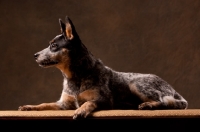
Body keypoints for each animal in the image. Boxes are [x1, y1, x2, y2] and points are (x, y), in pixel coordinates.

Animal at [18, 16, 188, 119]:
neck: (75, 77)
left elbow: (88, 103)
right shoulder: (64, 104)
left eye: (53, 46)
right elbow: (44, 104)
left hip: (137, 84)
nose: (34, 55)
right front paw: (29, 107)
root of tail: (173, 89)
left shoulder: (104, 100)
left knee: (164, 102)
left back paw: (148, 105)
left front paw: (81, 110)